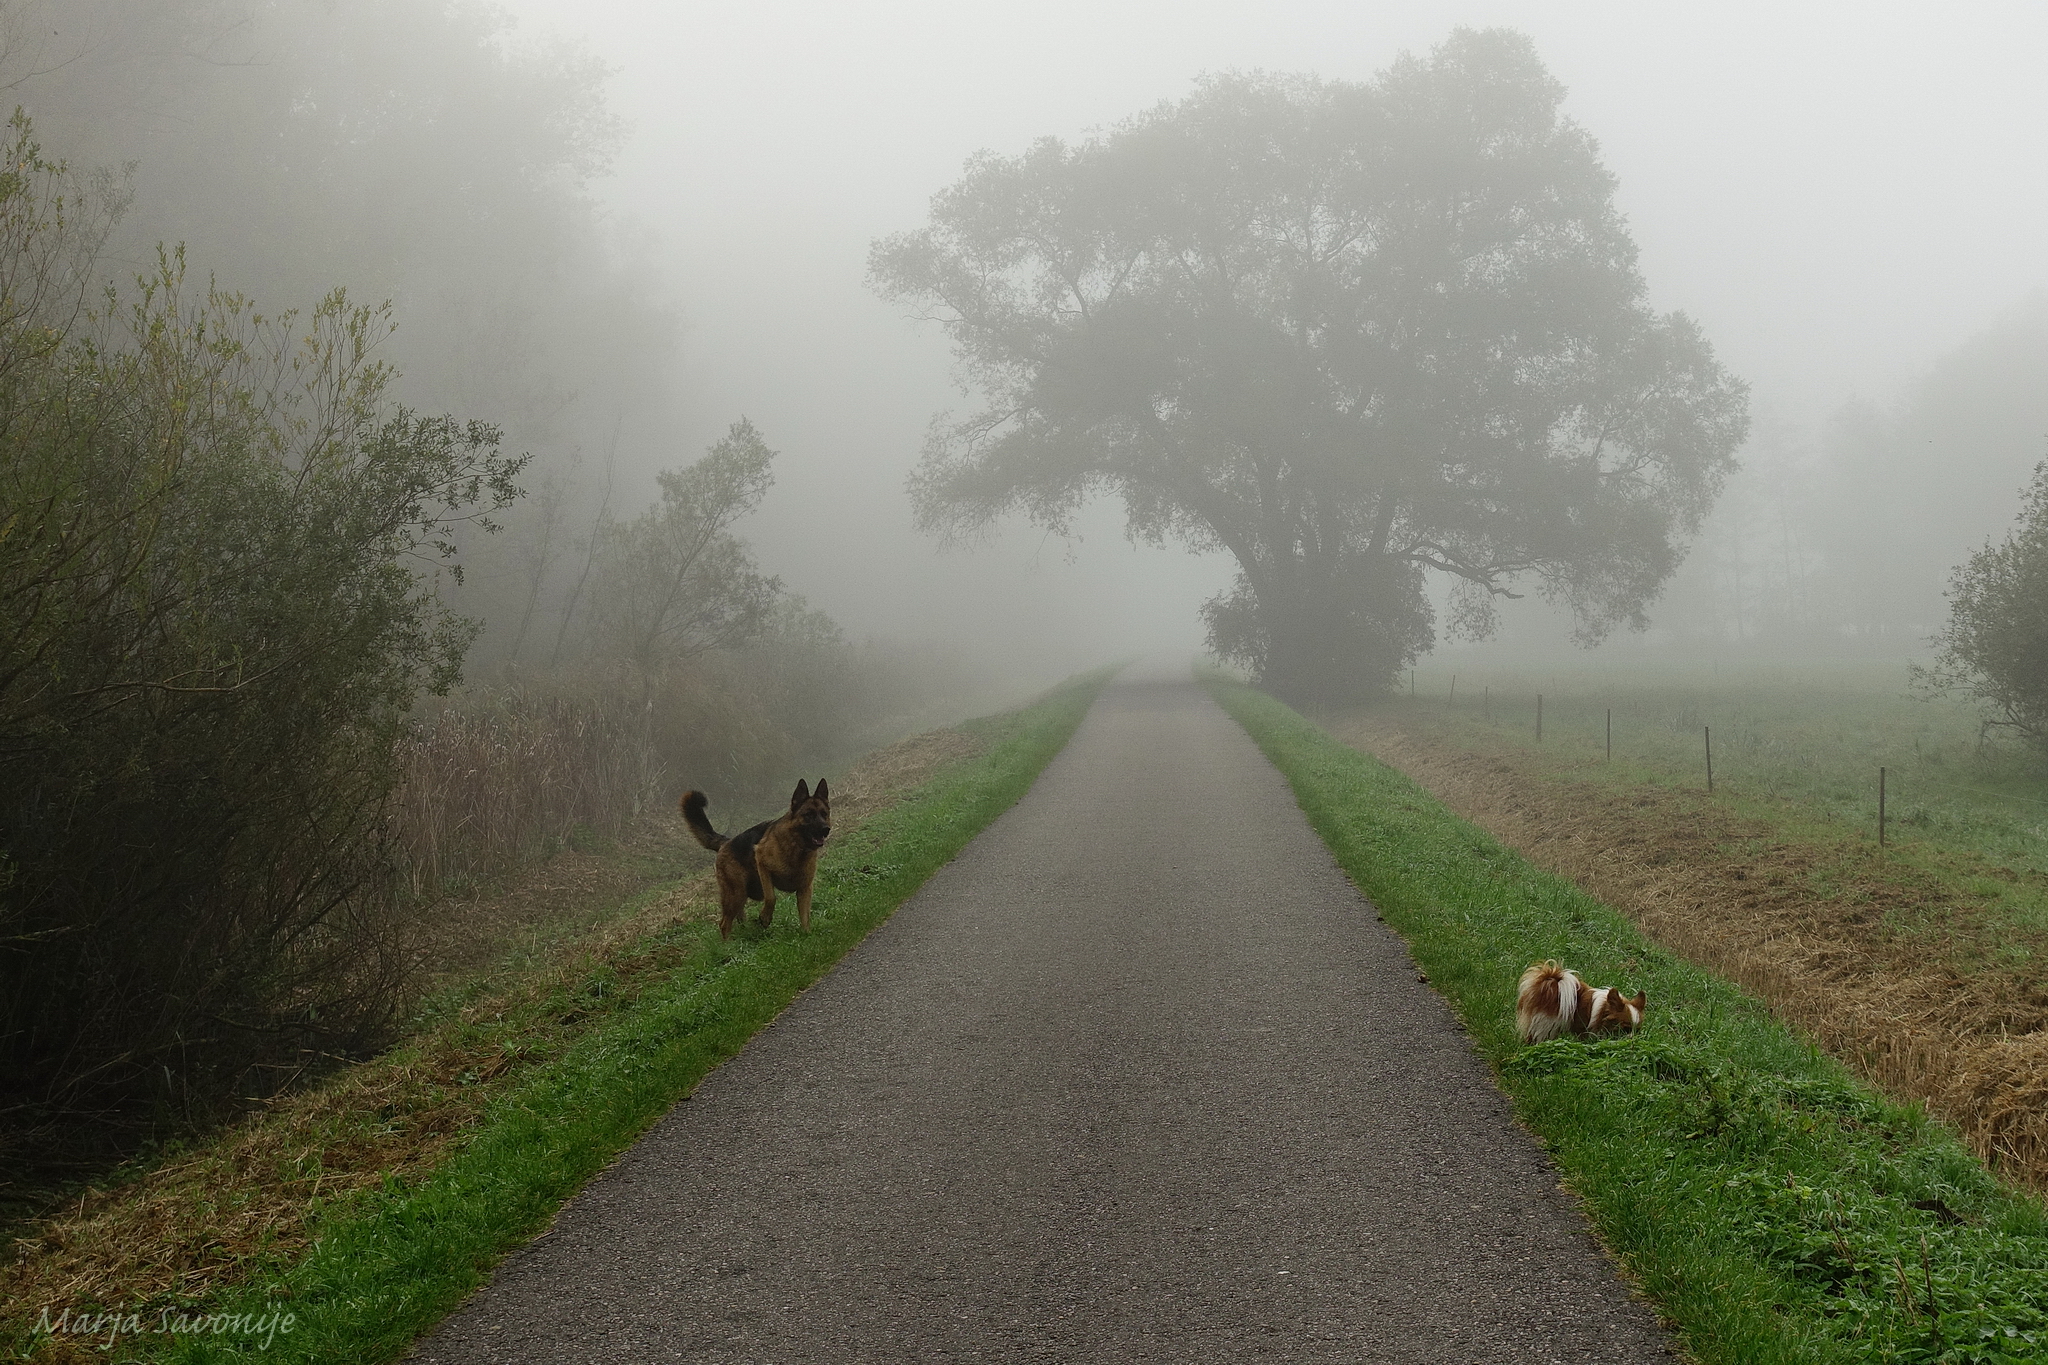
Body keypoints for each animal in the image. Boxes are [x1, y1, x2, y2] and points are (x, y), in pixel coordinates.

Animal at [679, 777, 823, 941]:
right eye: (808, 815)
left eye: (824, 814)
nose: (826, 829)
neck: (796, 846)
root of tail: (726, 842)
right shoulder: (763, 865)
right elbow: (771, 897)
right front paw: (765, 917)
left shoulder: (805, 888)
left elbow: (804, 917)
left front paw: (807, 935)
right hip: (736, 894)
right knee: (724, 924)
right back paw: (729, 944)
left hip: (740, 895)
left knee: (738, 918)